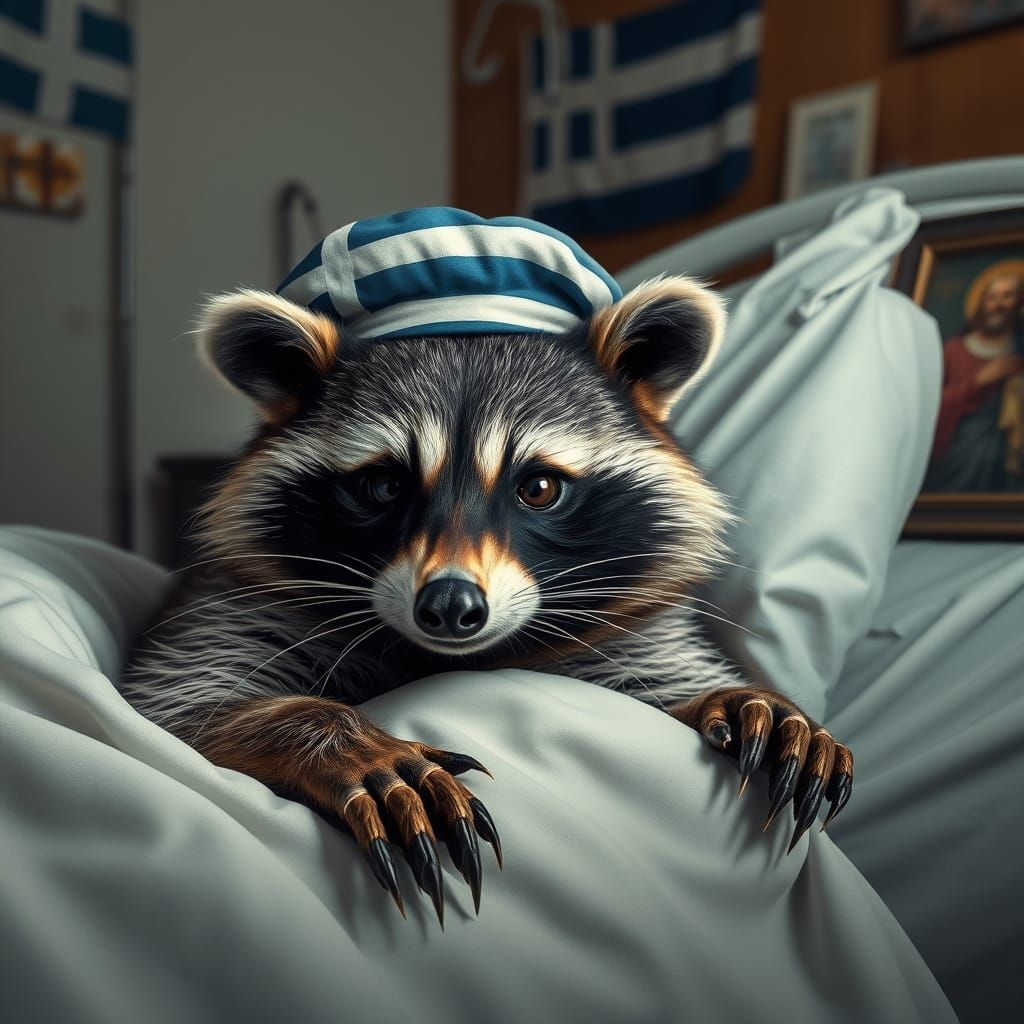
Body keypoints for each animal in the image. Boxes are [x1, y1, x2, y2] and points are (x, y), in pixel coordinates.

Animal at [123, 275, 853, 926]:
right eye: (383, 485)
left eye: (538, 487)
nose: (449, 605)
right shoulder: (240, 607)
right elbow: (176, 708)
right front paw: (335, 736)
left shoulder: (623, 630)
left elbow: (649, 687)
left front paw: (729, 697)